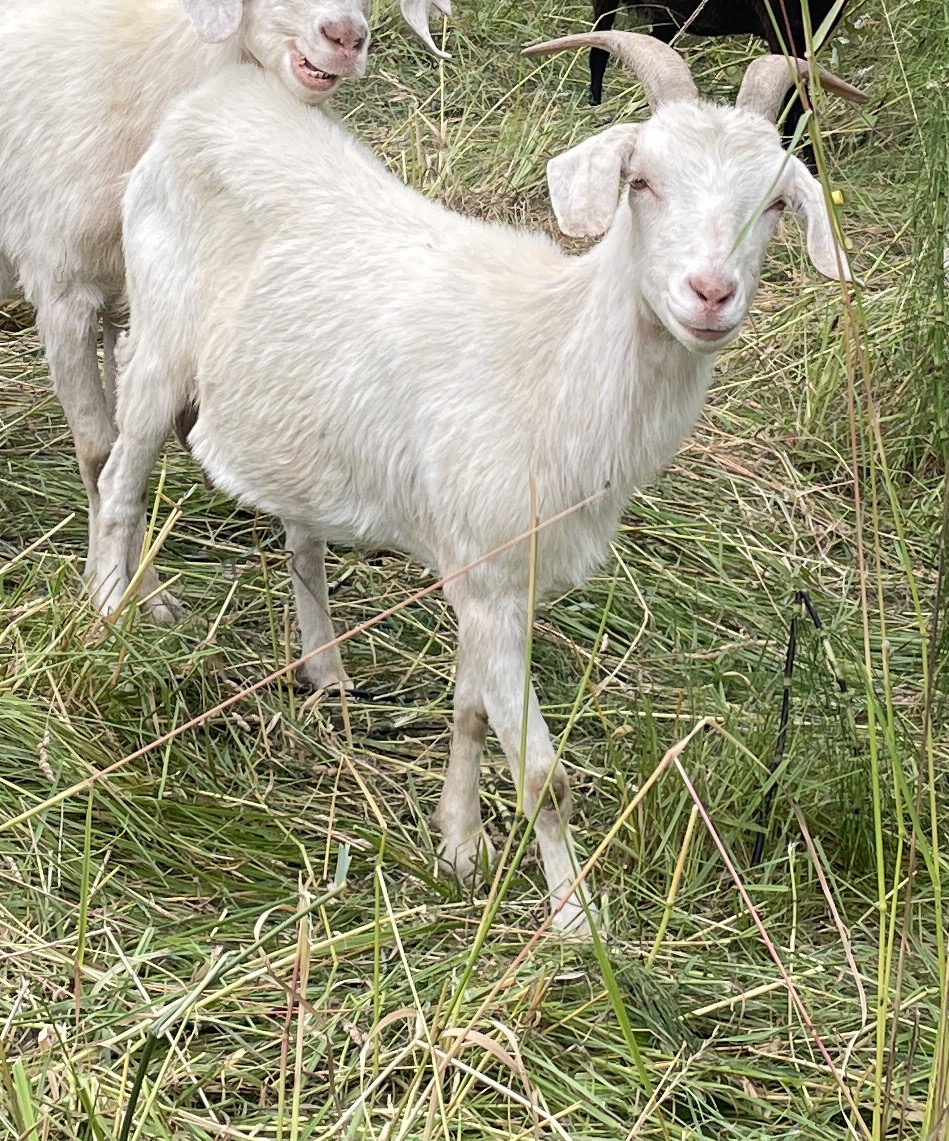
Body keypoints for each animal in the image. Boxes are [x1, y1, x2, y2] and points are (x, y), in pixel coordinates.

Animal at [0, 0, 448, 588]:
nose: (346, 38)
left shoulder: (135, 296)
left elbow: (127, 446)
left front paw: (143, 592)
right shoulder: (61, 287)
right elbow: (99, 452)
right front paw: (110, 593)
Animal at [93, 33, 863, 930]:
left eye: (774, 203)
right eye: (640, 181)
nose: (709, 294)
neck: (551, 357)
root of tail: (212, 99)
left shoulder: (491, 574)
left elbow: (467, 711)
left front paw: (458, 847)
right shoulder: (489, 576)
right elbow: (543, 775)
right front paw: (576, 924)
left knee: (296, 534)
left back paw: (323, 667)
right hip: (157, 343)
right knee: (118, 483)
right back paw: (107, 620)